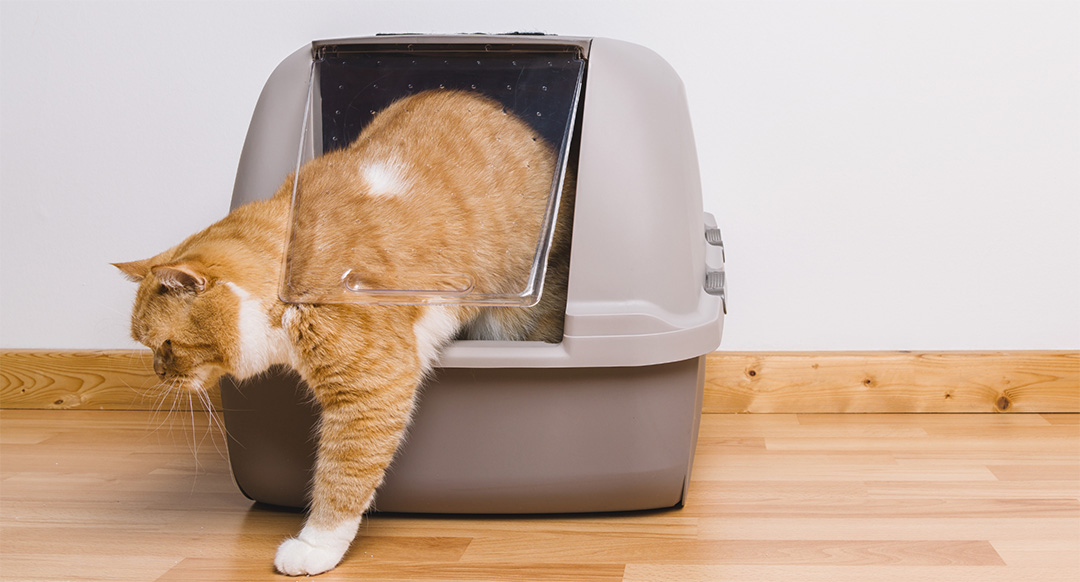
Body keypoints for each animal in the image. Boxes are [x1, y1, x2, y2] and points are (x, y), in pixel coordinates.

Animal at [113, 92, 574, 578]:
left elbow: (342, 473)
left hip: (516, 317)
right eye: (148, 347)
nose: (158, 373)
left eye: (165, 345)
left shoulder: (370, 391)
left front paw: (314, 546)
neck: (287, 266)